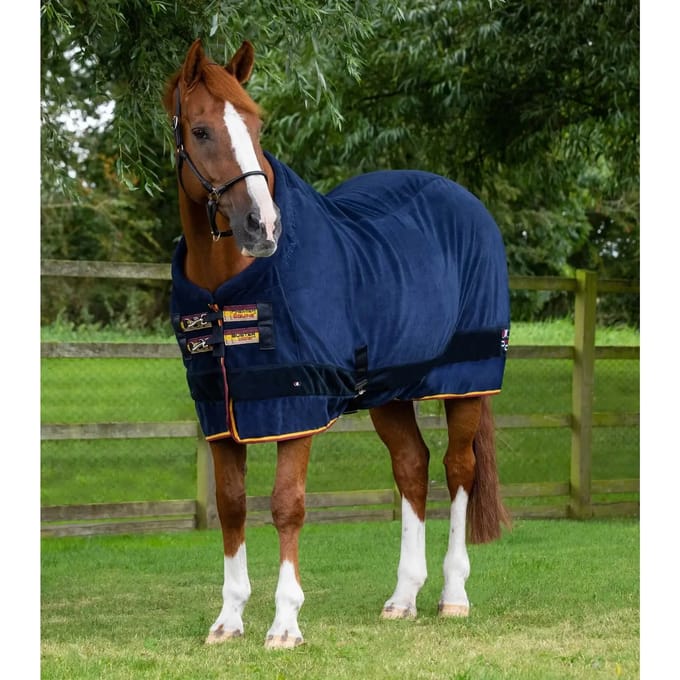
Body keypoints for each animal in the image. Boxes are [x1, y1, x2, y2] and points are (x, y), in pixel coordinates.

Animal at [163, 39, 511, 649]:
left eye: (257, 123)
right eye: (201, 130)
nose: (263, 226)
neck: (230, 287)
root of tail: (466, 203)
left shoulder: (297, 404)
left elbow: (286, 505)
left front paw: (284, 624)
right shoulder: (222, 411)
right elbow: (231, 506)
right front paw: (228, 619)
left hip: (467, 382)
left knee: (458, 469)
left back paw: (453, 595)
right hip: (391, 391)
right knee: (412, 466)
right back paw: (402, 598)